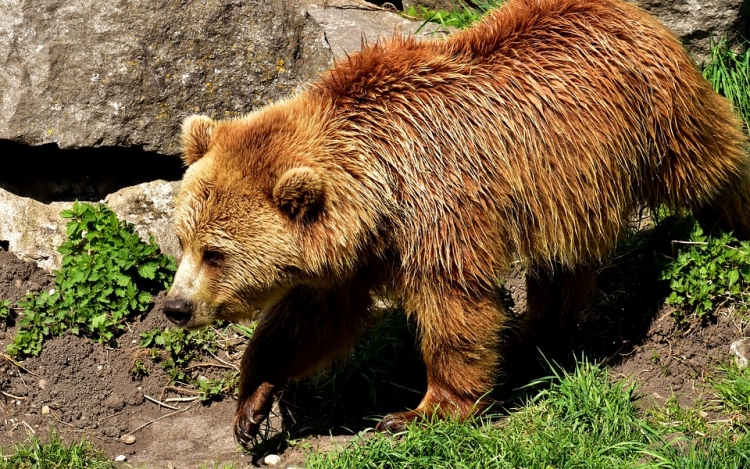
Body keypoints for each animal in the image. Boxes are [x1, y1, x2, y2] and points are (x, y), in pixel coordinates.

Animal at [163, 0, 750, 446]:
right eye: (183, 239)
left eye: (216, 253)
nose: (175, 307)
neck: (379, 184)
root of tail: (633, 11)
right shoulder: (356, 253)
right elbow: (310, 320)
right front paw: (252, 404)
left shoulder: (439, 211)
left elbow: (454, 307)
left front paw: (419, 412)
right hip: (566, 189)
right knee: (563, 261)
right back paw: (538, 338)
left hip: (658, 114)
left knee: (712, 166)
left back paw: (735, 221)